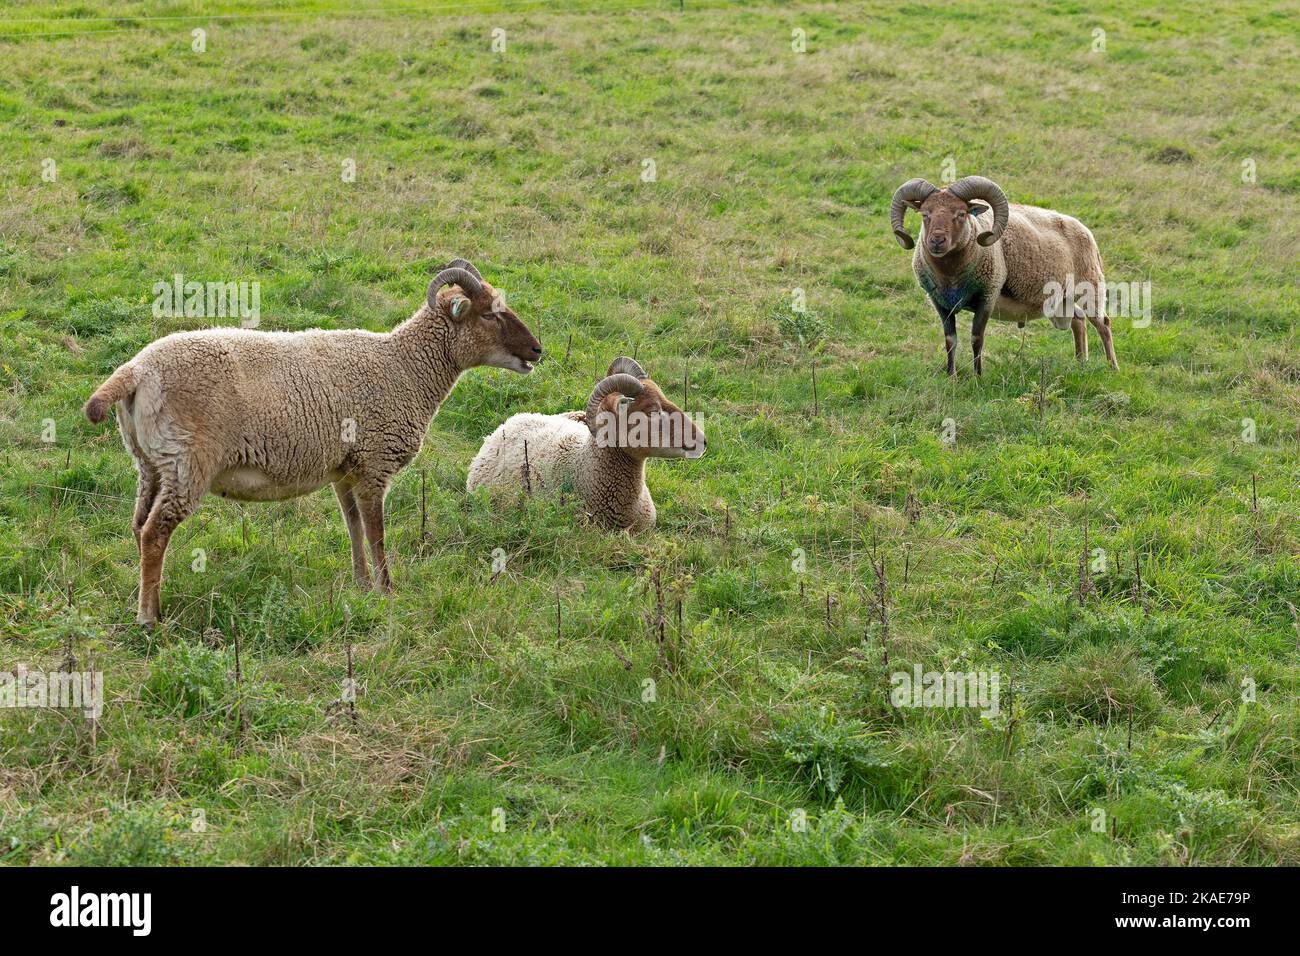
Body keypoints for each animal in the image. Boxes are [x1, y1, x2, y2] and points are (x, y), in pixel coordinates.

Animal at [81, 257, 540, 624]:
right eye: (489, 315)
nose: (538, 350)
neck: (404, 367)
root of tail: (135, 371)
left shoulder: (346, 469)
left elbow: (353, 527)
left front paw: (361, 586)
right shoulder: (374, 463)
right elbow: (376, 533)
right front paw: (388, 591)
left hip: (150, 463)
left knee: (139, 526)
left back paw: (147, 601)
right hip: (186, 463)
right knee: (155, 533)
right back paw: (148, 618)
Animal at [894, 174, 1118, 374]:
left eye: (961, 214)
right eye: (925, 214)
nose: (937, 241)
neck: (951, 275)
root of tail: (1084, 229)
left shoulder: (987, 296)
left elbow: (977, 339)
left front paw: (977, 377)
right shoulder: (940, 303)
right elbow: (950, 341)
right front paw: (951, 376)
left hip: (1090, 286)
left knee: (1103, 324)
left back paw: (1112, 368)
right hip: (1060, 300)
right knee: (1078, 321)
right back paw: (1081, 364)